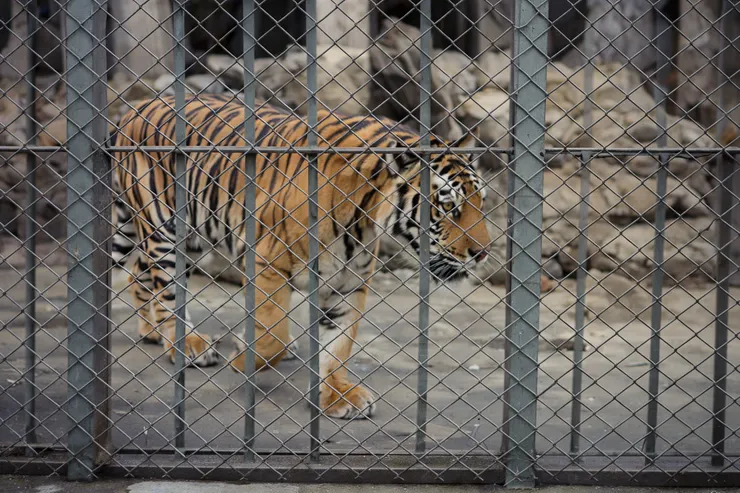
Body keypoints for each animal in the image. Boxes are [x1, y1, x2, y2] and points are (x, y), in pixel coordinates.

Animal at [109, 94, 491, 419]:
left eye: (481, 202)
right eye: (448, 205)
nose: (482, 253)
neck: (363, 221)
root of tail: (135, 107)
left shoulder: (348, 284)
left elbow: (338, 347)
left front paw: (338, 397)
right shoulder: (268, 264)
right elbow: (273, 335)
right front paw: (242, 358)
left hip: (193, 237)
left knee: (137, 274)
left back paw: (153, 332)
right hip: (164, 228)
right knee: (165, 290)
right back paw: (185, 344)